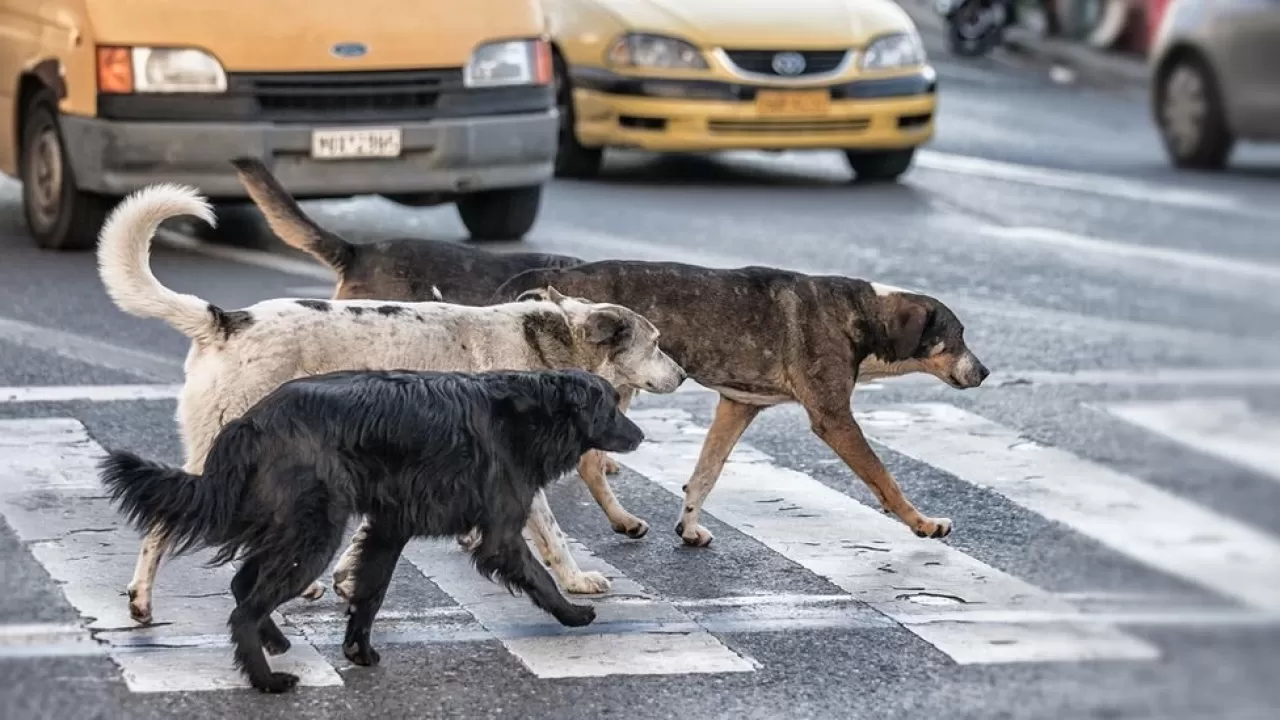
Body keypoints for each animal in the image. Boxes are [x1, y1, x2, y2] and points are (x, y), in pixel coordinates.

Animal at [97, 183, 691, 622]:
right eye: (655, 343)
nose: (685, 374)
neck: (549, 347)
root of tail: (225, 320)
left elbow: (366, 535)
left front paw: (344, 577)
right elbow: (553, 534)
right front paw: (575, 580)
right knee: (167, 521)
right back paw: (142, 600)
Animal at [99, 366, 645, 691]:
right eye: (610, 405)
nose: (641, 435)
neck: (532, 412)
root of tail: (250, 421)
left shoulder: (389, 529)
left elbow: (370, 593)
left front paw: (357, 651)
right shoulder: (501, 534)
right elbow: (541, 577)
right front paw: (573, 614)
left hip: (294, 528)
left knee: (243, 583)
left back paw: (274, 642)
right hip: (314, 534)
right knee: (244, 606)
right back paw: (266, 680)